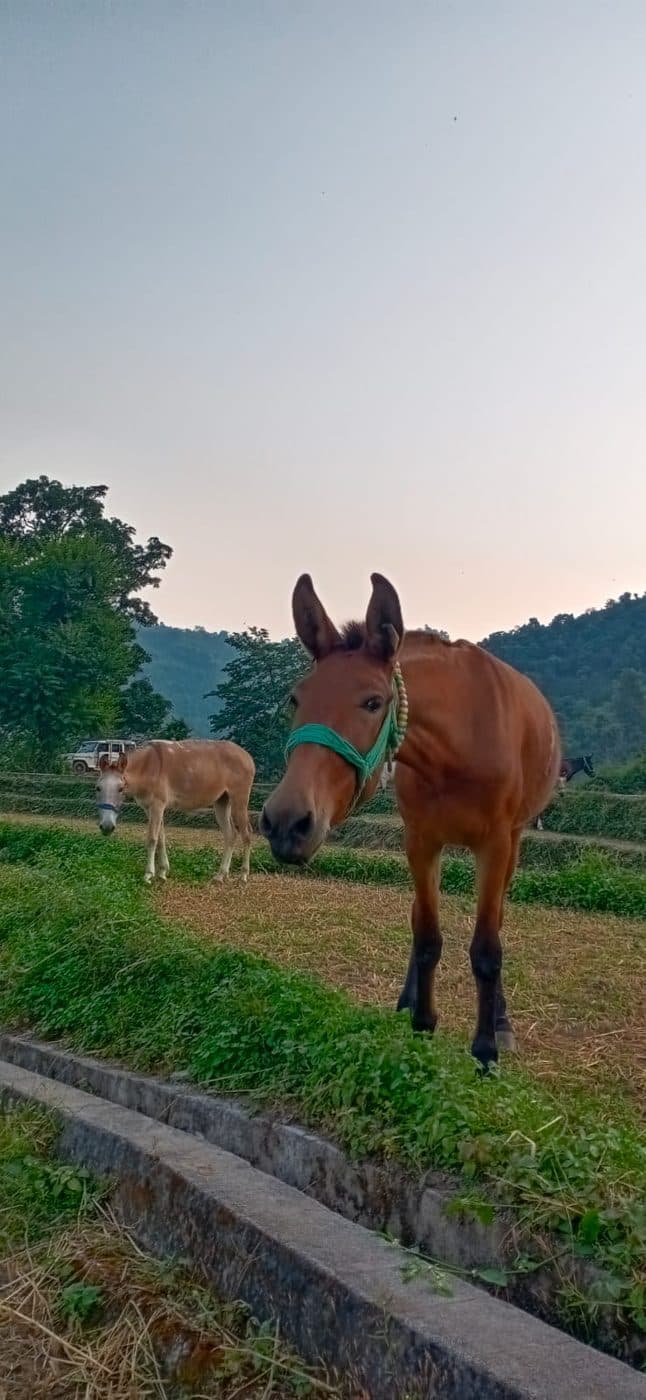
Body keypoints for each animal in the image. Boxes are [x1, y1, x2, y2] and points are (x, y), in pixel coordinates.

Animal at [96, 739, 255, 884]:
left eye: (120, 788)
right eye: (98, 788)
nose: (107, 827)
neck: (148, 767)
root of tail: (247, 756)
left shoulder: (157, 806)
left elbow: (152, 839)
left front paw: (148, 874)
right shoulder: (150, 809)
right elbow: (161, 839)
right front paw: (162, 872)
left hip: (239, 801)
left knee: (246, 834)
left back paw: (244, 875)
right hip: (222, 802)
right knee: (230, 835)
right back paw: (220, 875)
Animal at [260, 574, 560, 1071]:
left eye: (373, 702)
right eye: (294, 699)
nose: (287, 822)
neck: (455, 748)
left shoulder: (496, 845)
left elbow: (487, 948)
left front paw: (485, 1050)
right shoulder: (420, 842)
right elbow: (425, 937)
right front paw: (422, 1024)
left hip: (515, 841)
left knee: (496, 923)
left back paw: (500, 1023)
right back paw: (408, 1000)